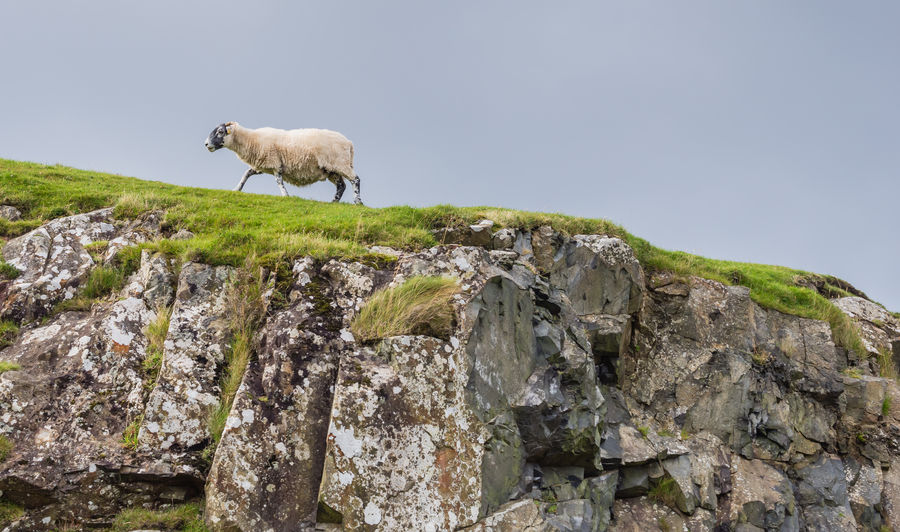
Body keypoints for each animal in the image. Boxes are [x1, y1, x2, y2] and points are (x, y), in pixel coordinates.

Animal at [204, 122, 362, 204]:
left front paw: (285, 195)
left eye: (220, 132)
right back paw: (333, 202)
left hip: (341, 164)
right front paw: (237, 189)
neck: (251, 140)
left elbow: (279, 181)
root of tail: (349, 144)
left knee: (355, 180)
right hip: (331, 170)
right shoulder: (262, 165)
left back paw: (358, 202)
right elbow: (246, 174)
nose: (206, 144)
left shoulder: (275, 163)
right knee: (341, 186)